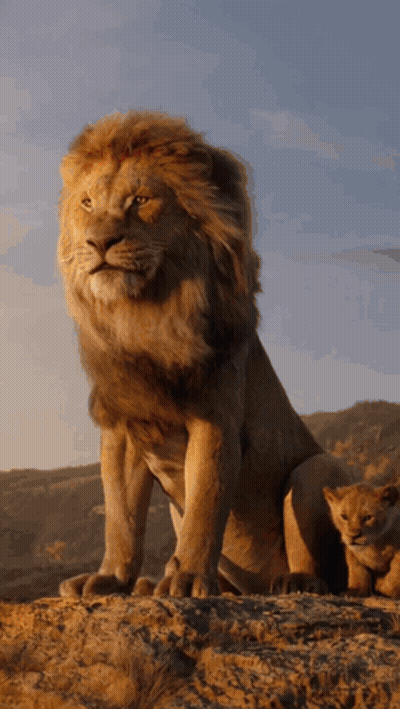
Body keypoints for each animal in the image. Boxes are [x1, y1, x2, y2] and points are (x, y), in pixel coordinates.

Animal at [58, 110, 353, 599]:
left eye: (140, 200)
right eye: (86, 204)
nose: (99, 242)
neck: (145, 316)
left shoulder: (215, 418)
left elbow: (205, 505)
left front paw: (189, 578)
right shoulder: (123, 427)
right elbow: (121, 517)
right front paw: (111, 578)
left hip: (317, 469)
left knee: (325, 571)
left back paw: (294, 582)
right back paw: (152, 585)